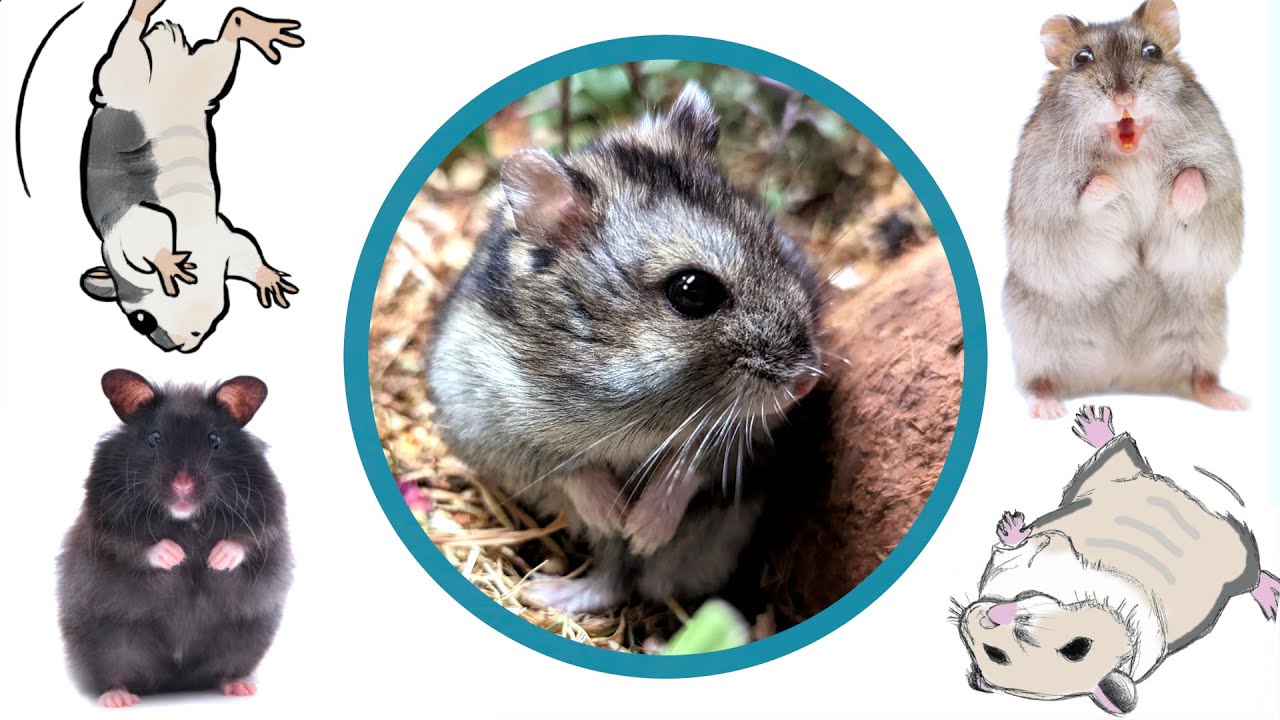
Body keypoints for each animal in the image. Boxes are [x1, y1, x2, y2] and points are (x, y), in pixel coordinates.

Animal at [57, 369, 292, 708]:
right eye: (154, 439)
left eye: (213, 440)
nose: (183, 486)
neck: (185, 519)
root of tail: (176, 679)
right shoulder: (106, 524)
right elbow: (133, 546)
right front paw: (176, 556)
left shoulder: (266, 519)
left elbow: (247, 541)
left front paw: (215, 559)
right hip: (104, 644)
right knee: (112, 673)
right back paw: (118, 698)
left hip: (245, 639)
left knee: (225, 669)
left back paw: (240, 687)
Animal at [78, 0, 302, 352]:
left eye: (141, 320)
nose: (178, 346)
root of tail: (166, 67)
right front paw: (169, 263)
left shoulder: (217, 240)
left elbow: (245, 251)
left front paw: (269, 279)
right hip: (186, 76)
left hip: (133, 76)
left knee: (135, 41)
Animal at [427, 81, 823, 614]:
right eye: (692, 291)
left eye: (774, 241)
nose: (806, 385)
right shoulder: (483, 420)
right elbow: (568, 467)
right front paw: (616, 514)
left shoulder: (756, 432)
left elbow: (690, 463)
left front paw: (642, 527)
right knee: (611, 576)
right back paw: (550, 590)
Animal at [953, 406, 1279, 715]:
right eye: (993, 653)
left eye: (1077, 648)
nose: (997, 615)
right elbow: (1018, 548)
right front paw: (1010, 523)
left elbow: (1037, 545)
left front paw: (1013, 523)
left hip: (1234, 556)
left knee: (1253, 576)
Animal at [1003, 0, 1245, 418]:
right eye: (1081, 59)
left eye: (1152, 51)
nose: (1123, 99)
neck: (1130, 152)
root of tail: (1119, 375)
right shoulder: (1047, 189)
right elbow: (1087, 191)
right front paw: (1119, 187)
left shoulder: (1219, 169)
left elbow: (1196, 178)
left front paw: (1180, 196)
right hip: (1036, 337)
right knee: (1037, 380)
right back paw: (1047, 408)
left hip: (1203, 330)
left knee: (1201, 378)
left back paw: (1233, 402)